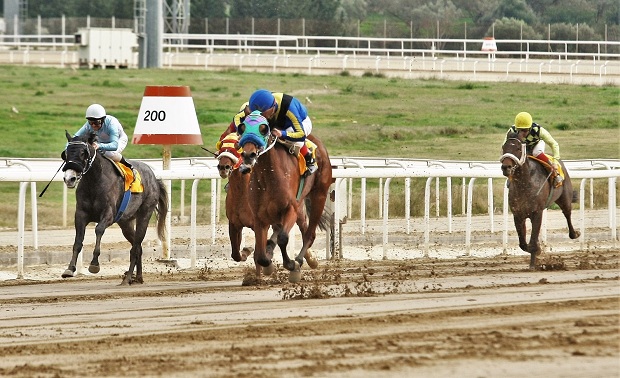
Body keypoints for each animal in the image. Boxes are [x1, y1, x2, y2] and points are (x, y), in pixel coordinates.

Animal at [61, 132, 167, 284]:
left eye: (83, 153)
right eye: (66, 153)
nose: (69, 178)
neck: (94, 181)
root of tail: (154, 178)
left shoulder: (109, 214)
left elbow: (99, 229)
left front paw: (94, 264)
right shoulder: (81, 214)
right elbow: (78, 241)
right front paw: (70, 269)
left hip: (144, 214)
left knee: (135, 247)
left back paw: (127, 278)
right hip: (126, 222)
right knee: (138, 246)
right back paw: (137, 277)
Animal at [239, 119, 334, 282]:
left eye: (263, 129)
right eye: (242, 127)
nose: (248, 155)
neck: (268, 177)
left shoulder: (290, 209)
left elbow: (283, 238)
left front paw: (292, 265)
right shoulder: (259, 216)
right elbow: (261, 255)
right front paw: (268, 264)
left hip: (319, 195)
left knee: (309, 234)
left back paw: (300, 260)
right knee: (279, 230)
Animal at [498, 132, 580, 268]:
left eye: (518, 149)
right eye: (504, 148)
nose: (506, 167)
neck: (525, 184)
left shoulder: (537, 213)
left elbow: (532, 241)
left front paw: (533, 262)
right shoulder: (518, 215)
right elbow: (523, 244)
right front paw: (537, 251)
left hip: (565, 198)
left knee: (567, 214)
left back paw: (575, 234)